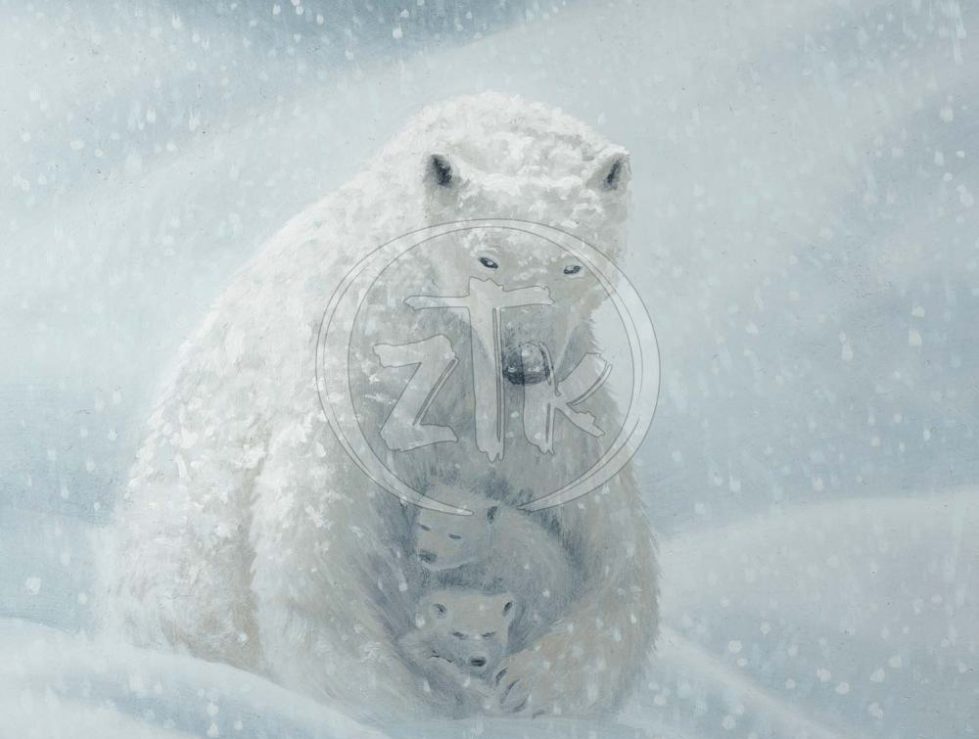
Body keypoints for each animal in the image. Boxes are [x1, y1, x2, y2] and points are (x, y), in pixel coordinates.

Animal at [102, 92, 658, 722]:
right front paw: (406, 698)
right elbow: (317, 556)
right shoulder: (369, 380)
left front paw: (532, 681)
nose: (526, 362)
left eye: (573, 264)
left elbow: (611, 548)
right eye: (488, 259)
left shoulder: (549, 412)